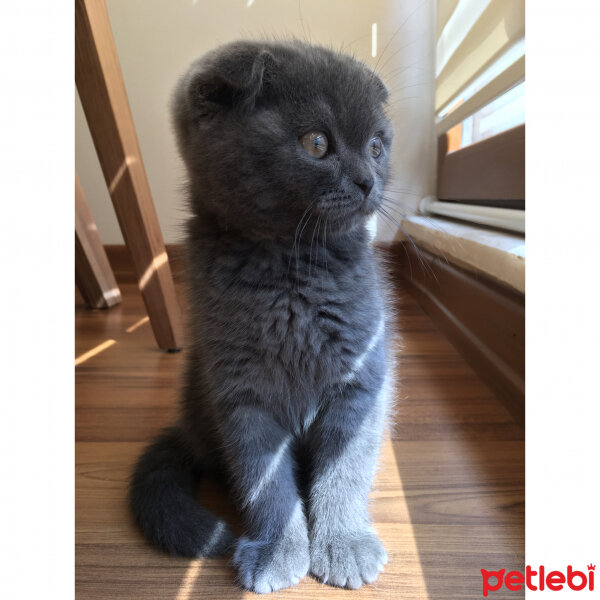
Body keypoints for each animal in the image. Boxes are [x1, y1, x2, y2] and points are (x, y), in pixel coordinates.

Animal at [130, 39, 394, 592]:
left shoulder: (361, 377)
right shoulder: (240, 391)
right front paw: (278, 550)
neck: (291, 264)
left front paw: (344, 544)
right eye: (317, 143)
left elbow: (346, 467)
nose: (368, 180)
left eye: (378, 146)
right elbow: (263, 479)